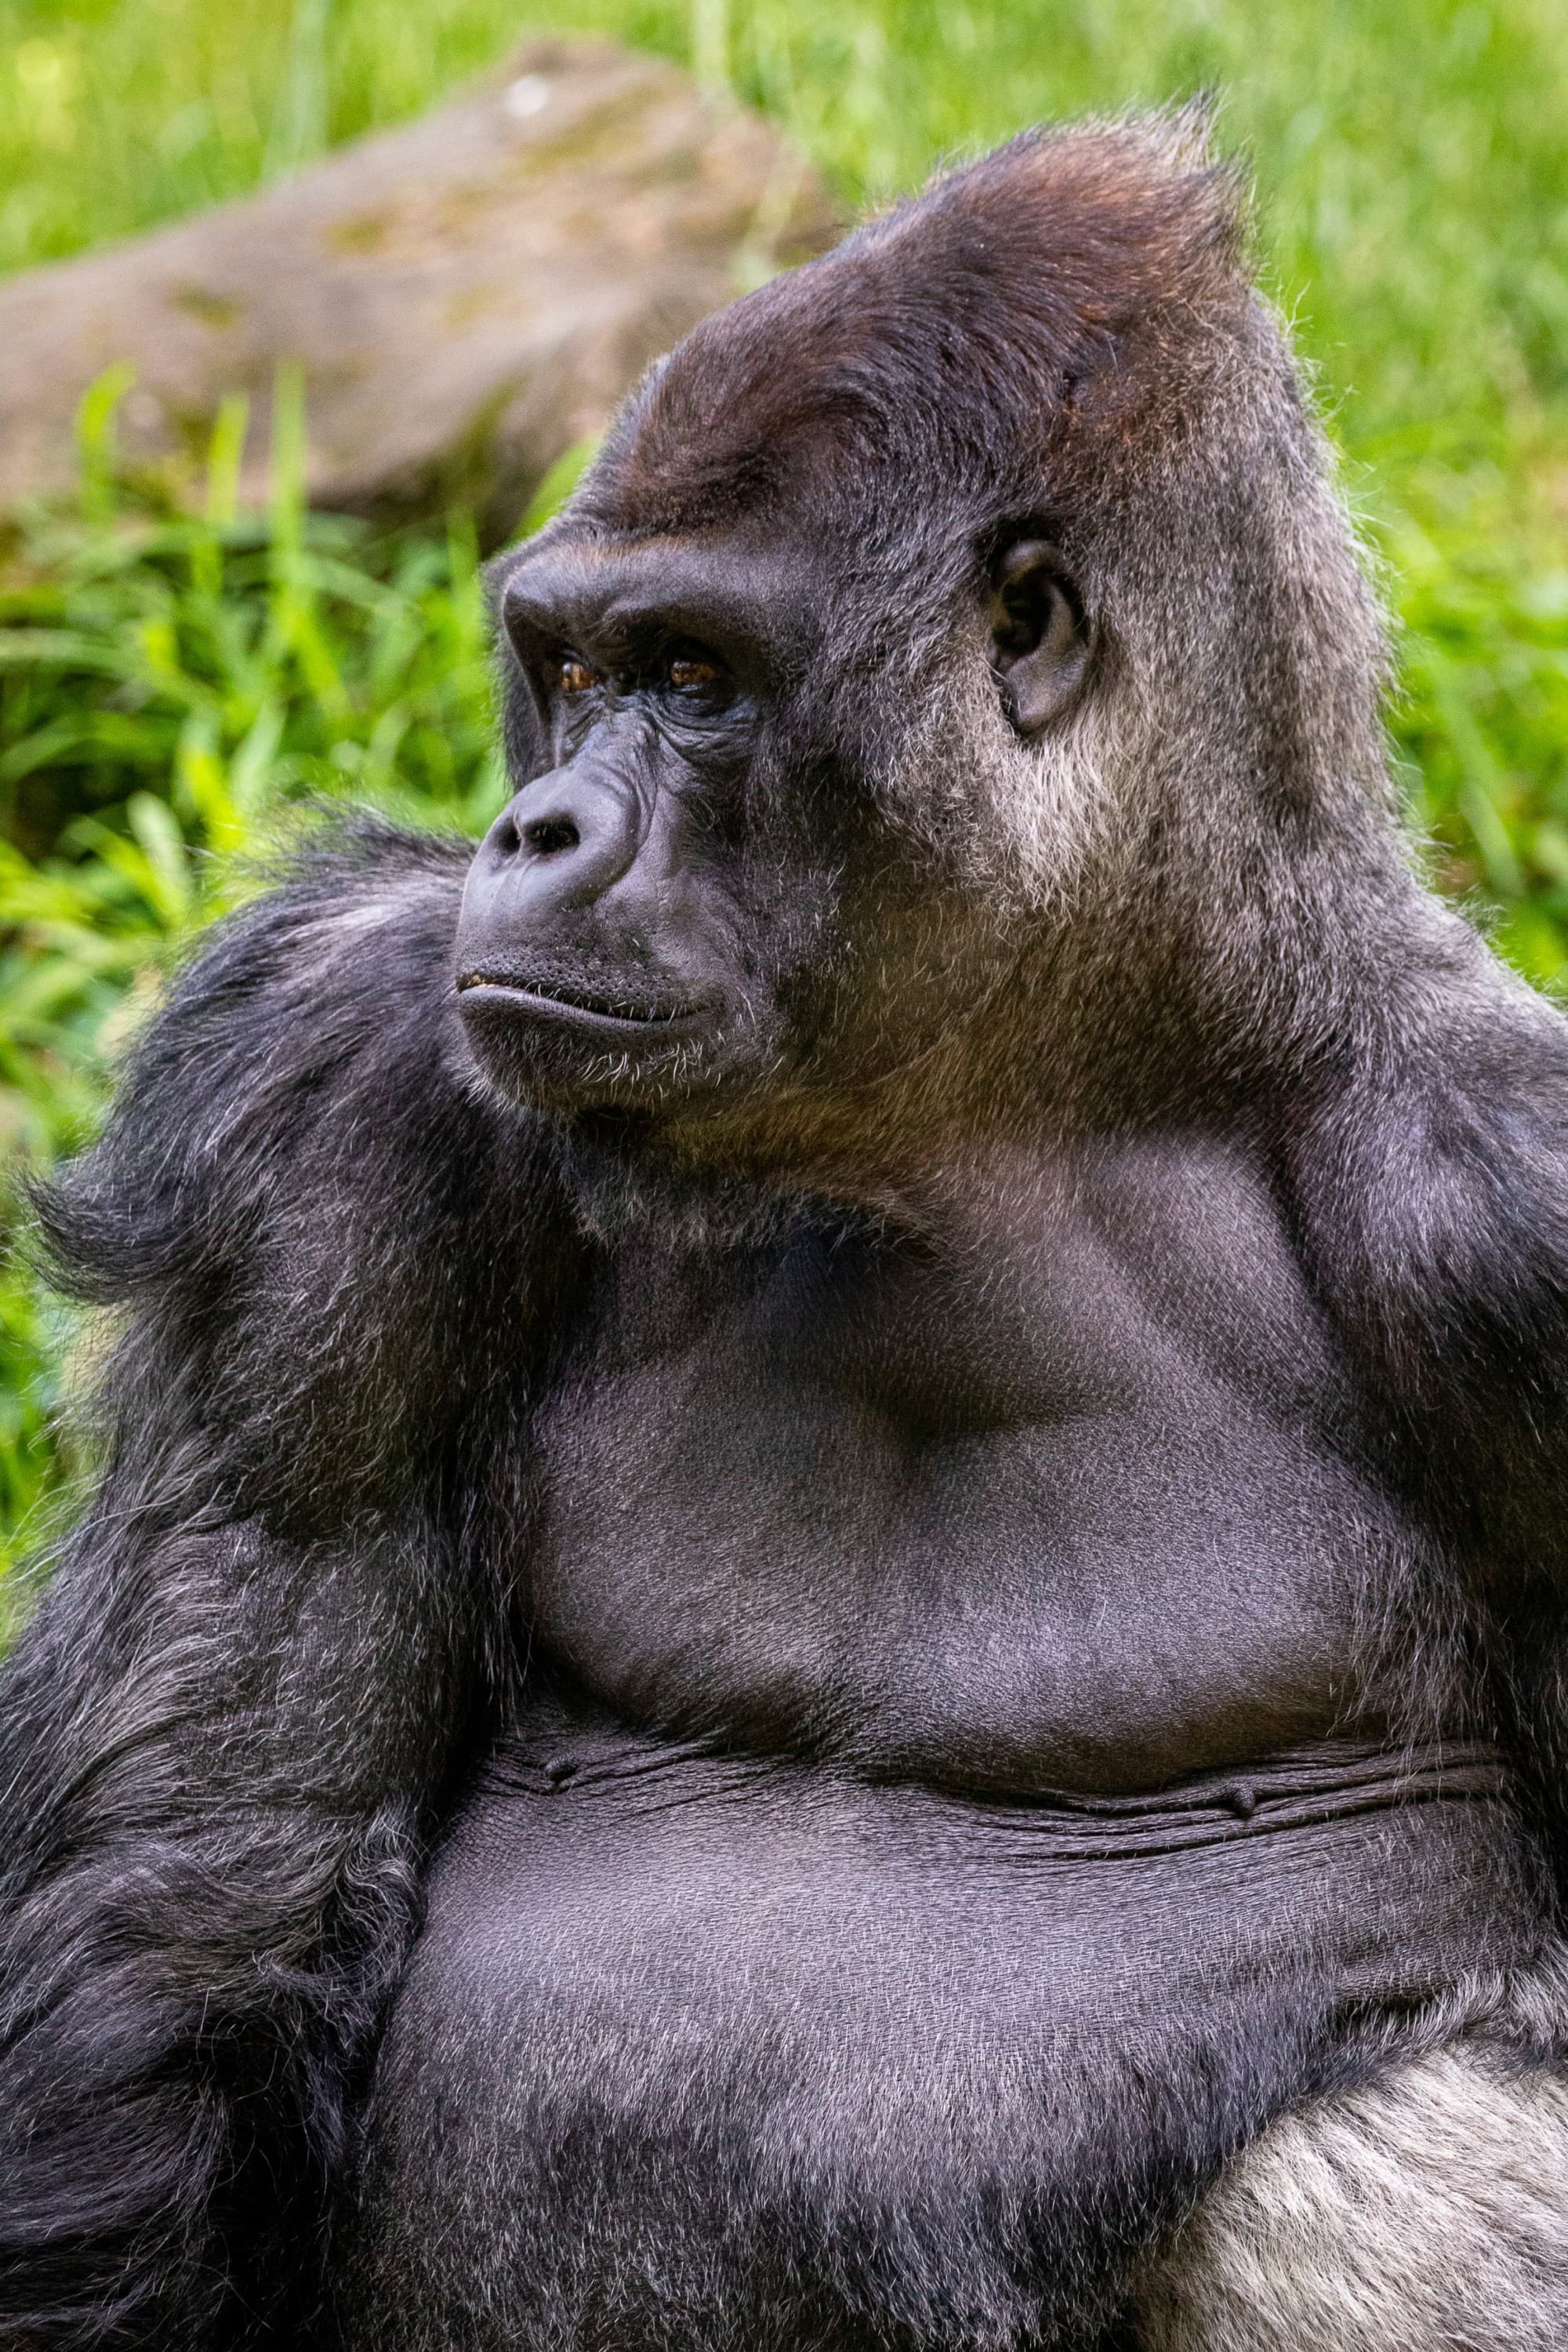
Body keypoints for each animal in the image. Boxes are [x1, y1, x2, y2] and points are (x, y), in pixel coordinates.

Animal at [2, 106, 1568, 2352]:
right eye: (569, 670)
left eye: (693, 678)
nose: (536, 830)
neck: (1017, 1100)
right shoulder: (336, 1087)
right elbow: (193, 1907)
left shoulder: (1506, 1201)